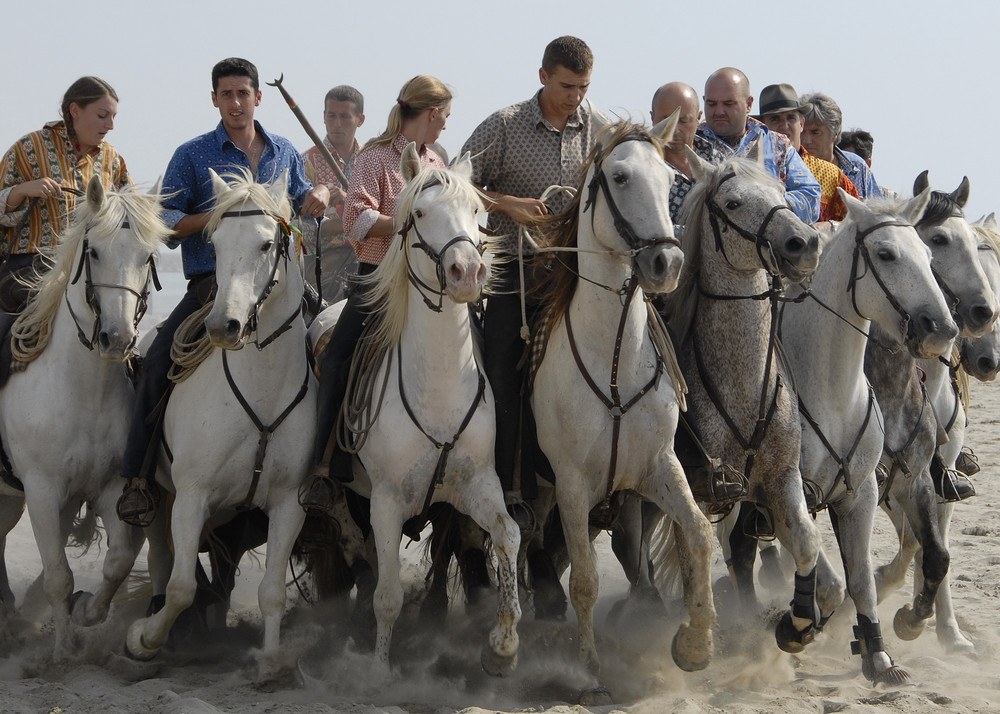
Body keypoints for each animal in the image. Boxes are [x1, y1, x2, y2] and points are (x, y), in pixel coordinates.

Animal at [0, 177, 168, 656]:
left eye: (147, 256)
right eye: (93, 251)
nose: (117, 338)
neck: (83, 395)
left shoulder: (109, 488)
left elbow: (119, 560)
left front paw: (86, 611)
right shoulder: (41, 490)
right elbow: (58, 575)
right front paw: (61, 652)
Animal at [340, 146, 520, 672]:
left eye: (477, 212)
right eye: (419, 213)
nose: (467, 272)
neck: (437, 390)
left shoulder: (478, 483)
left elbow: (508, 534)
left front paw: (503, 645)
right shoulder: (384, 501)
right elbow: (386, 597)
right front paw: (379, 670)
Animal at [532, 119, 712, 680]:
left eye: (672, 177)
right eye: (620, 175)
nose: (666, 261)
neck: (613, 362)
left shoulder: (658, 465)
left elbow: (699, 533)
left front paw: (696, 645)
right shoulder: (570, 483)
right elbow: (585, 580)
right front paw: (589, 667)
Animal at [784, 189, 956, 684]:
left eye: (928, 255)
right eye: (885, 254)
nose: (943, 329)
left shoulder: (882, 487)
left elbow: (907, 562)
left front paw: (886, 643)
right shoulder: (785, 489)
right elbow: (816, 560)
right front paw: (801, 625)